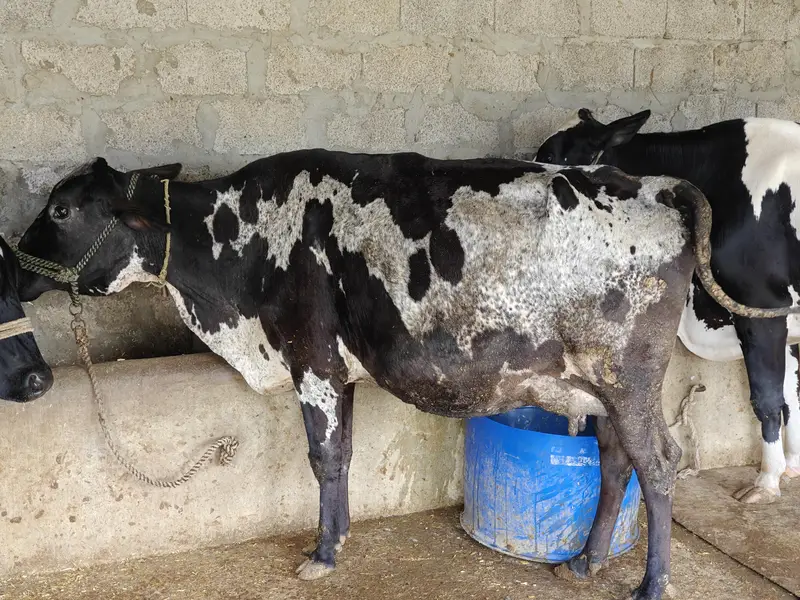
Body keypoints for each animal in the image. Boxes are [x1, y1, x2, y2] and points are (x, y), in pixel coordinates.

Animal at [14, 152, 794, 600]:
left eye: (61, 208)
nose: (10, 260)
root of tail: (654, 186)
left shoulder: (311, 359)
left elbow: (324, 457)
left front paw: (323, 553)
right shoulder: (341, 369)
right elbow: (346, 453)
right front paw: (339, 538)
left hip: (626, 373)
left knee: (658, 462)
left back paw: (652, 584)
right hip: (596, 383)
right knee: (616, 460)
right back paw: (584, 563)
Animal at [535, 109, 800, 505]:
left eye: (555, 155)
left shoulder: (761, 304)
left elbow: (769, 396)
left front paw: (767, 481)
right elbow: (792, 393)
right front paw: (792, 466)